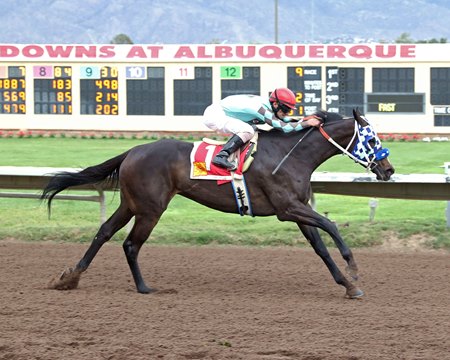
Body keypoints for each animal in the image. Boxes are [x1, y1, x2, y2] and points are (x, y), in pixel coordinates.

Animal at [42, 107, 394, 298]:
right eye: (372, 139)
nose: (389, 170)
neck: (291, 155)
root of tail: (133, 151)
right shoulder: (288, 209)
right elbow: (331, 224)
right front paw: (353, 268)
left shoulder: (297, 210)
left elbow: (320, 247)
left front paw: (347, 285)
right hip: (150, 208)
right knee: (130, 244)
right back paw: (143, 287)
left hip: (131, 203)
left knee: (104, 232)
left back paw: (69, 277)